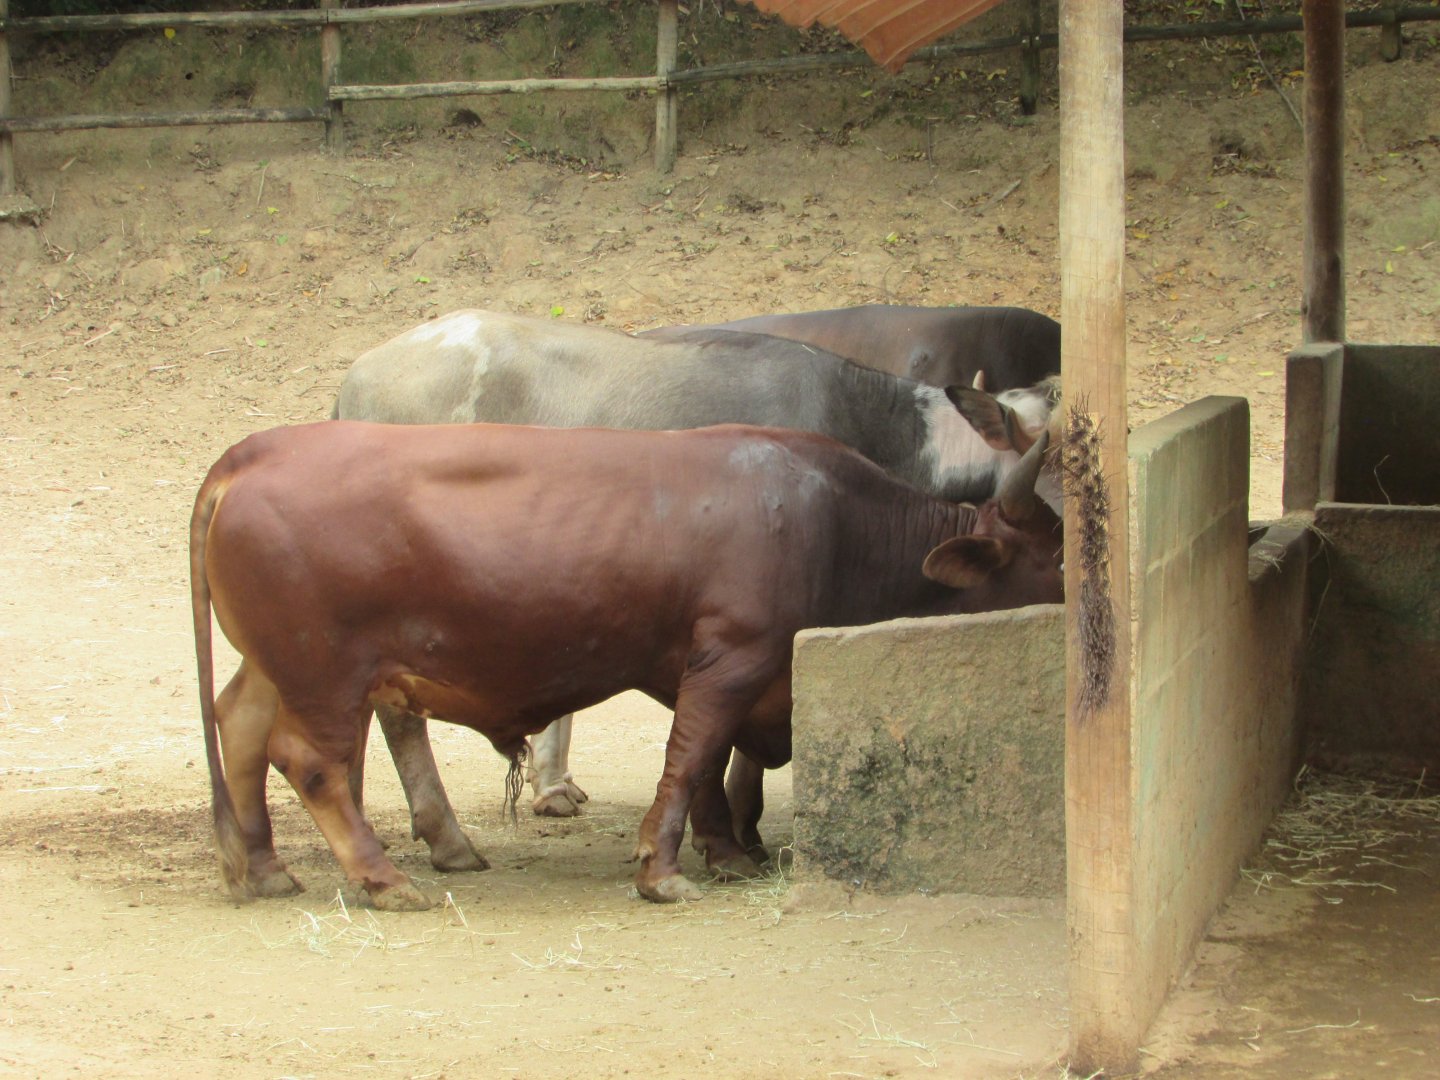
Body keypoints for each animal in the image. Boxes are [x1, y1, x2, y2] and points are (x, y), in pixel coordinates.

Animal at [193, 420, 1063, 909]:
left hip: (275, 664)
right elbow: (691, 758)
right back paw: (384, 879)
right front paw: (663, 870)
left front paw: (726, 853)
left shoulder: (700, 668)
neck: (838, 521)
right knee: (307, 760)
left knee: (239, 727)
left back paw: (261, 868)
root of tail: (254, 452)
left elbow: (707, 764)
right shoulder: (736, 654)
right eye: (1056, 559)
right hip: (325, 669)